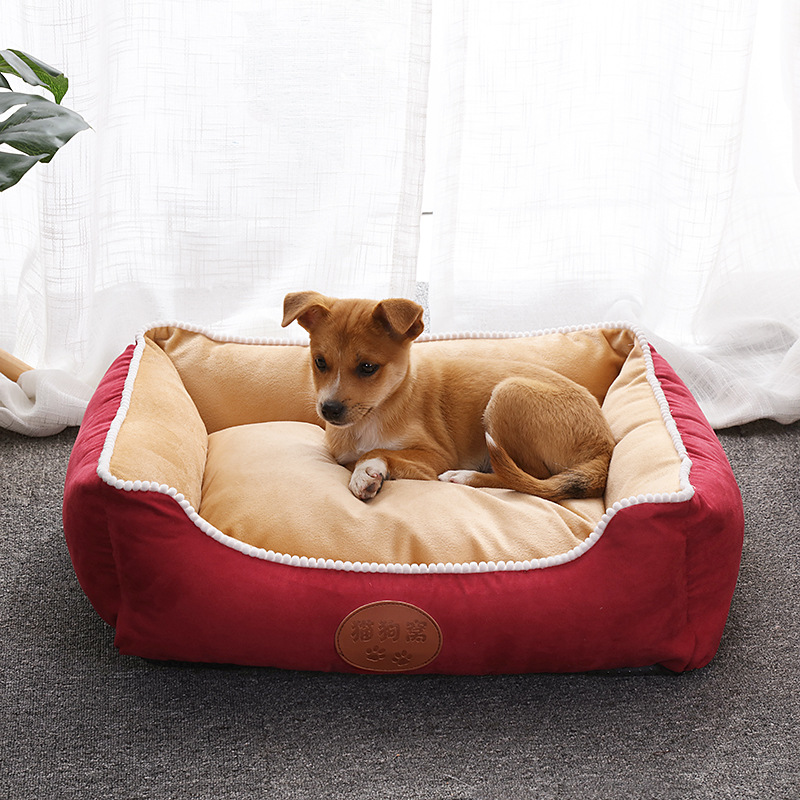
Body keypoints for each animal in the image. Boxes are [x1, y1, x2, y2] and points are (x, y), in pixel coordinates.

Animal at [282, 291, 615, 503]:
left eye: (367, 367)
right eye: (320, 362)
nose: (329, 410)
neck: (377, 412)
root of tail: (606, 446)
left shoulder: (435, 457)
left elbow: (377, 451)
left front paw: (366, 472)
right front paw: (364, 472)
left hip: (507, 394)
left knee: (531, 478)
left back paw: (464, 477)